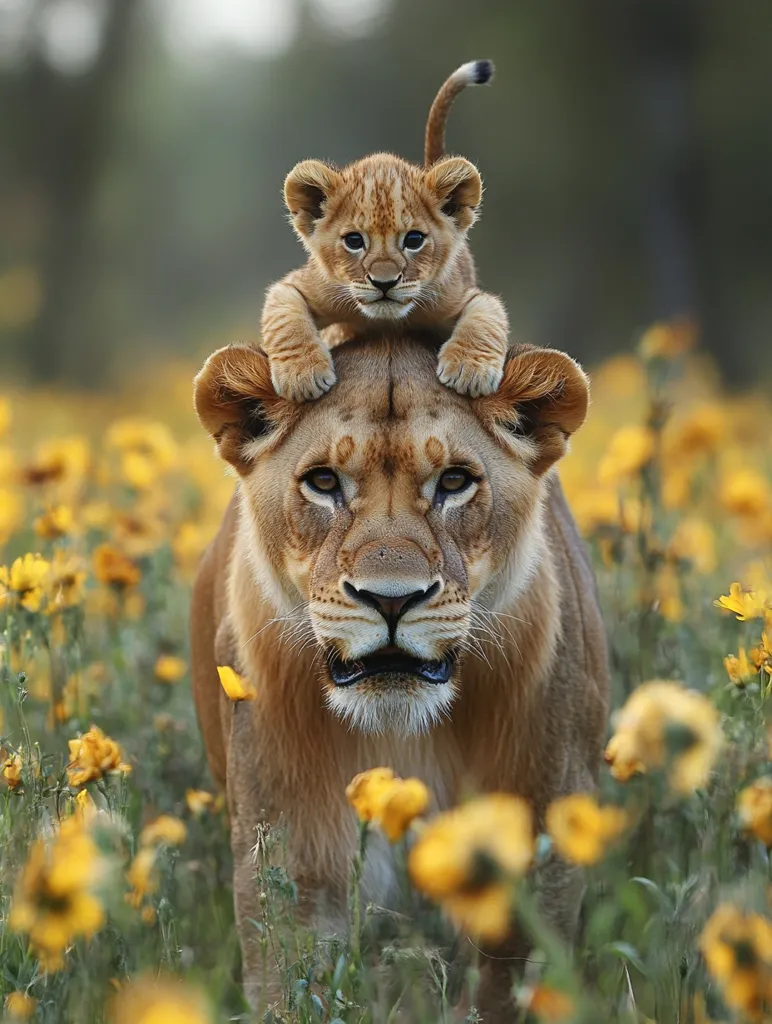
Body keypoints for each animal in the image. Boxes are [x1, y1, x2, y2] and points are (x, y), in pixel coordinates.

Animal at [190, 333, 609, 1020]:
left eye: (455, 482)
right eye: (324, 482)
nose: (391, 599)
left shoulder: (539, 848)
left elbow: (504, 988)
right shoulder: (292, 856)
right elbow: (290, 982)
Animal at [261, 60, 509, 403]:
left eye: (414, 240)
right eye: (354, 241)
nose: (384, 283)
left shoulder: (459, 295)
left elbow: (486, 316)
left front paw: (469, 370)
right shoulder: (304, 286)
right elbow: (286, 318)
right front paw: (303, 374)